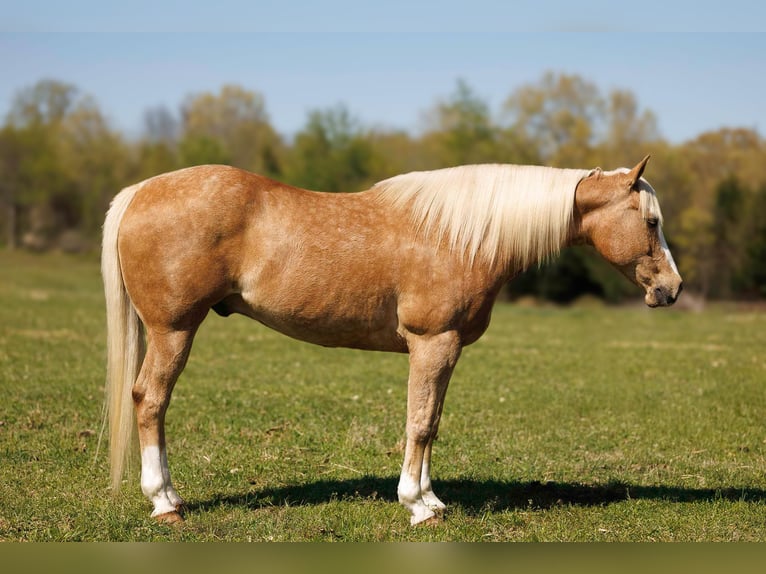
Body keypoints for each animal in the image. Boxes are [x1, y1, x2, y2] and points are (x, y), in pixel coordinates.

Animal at [101, 155, 682, 526]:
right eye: (651, 221)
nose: (671, 289)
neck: (460, 235)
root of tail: (140, 192)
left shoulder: (444, 350)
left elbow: (430, 422)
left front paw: (431, 499)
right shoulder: (433, 343)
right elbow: (419, 424)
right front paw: (417, 508)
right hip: (174, 330)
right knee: (150, 401)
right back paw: (166, 502)